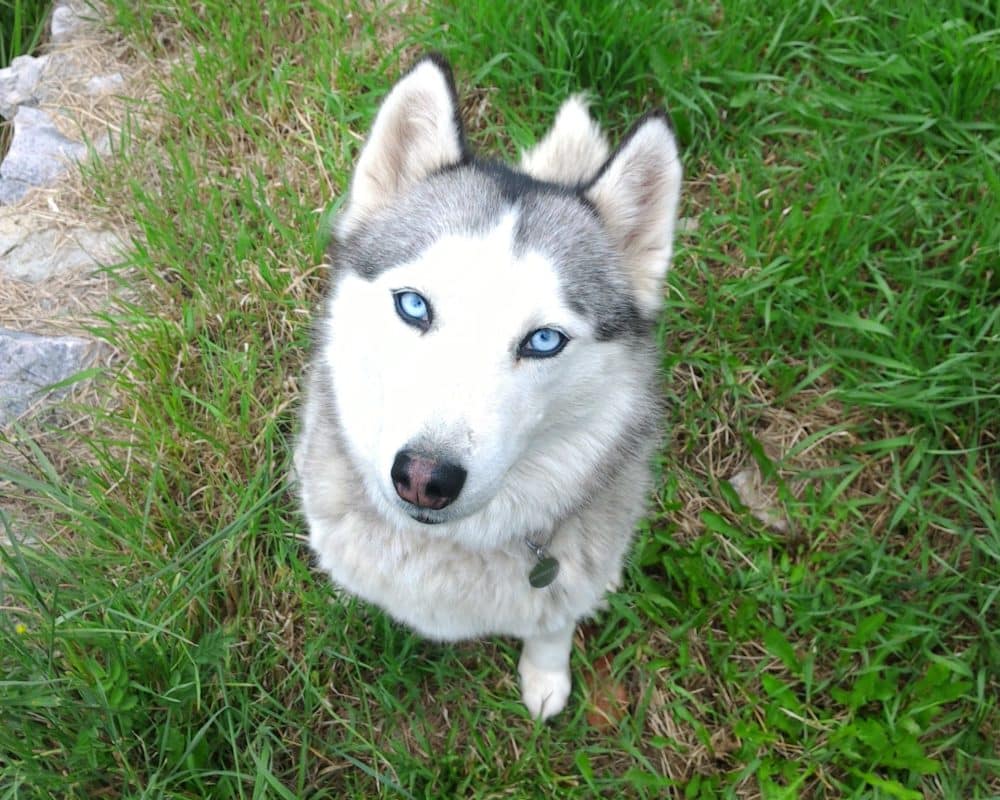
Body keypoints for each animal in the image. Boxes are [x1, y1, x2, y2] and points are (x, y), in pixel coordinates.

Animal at [292, 56, 684, 720]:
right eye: (414, 305)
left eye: (544, 341)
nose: (425, 478)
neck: (447, 550)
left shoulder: (567, 580)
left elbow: (552, 624)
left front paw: (545, 676)